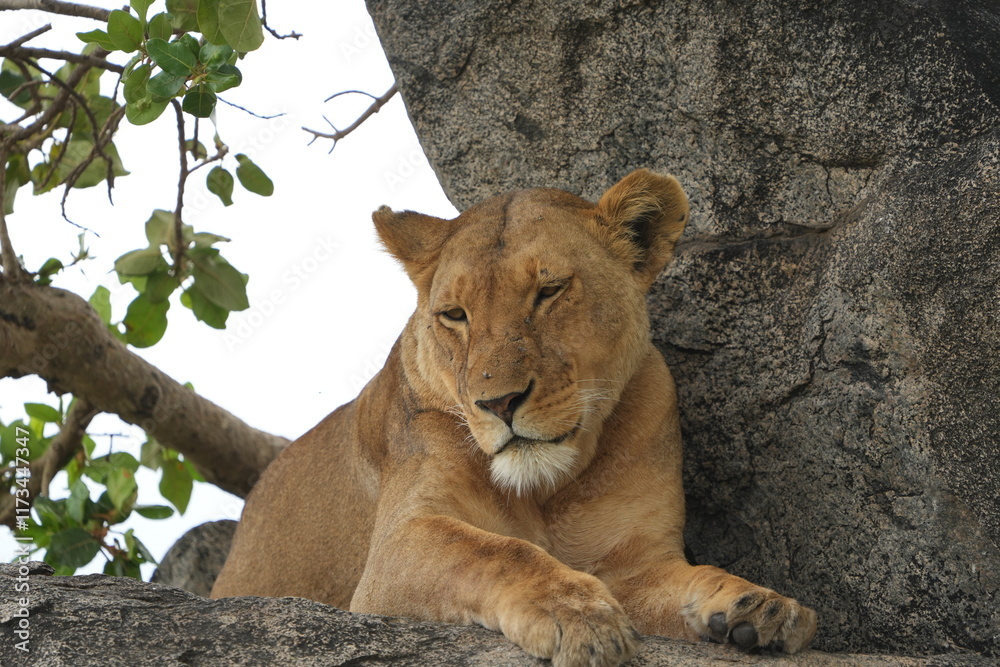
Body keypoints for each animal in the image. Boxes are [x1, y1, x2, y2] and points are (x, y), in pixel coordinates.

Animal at [211, 169, 817, 666]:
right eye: (454, 315)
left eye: (549, 291)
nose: (499, 403)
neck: (548, 491)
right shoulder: (395, 549)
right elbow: (498, 552)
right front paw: (576, 614)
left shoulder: (634, 564)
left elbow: (693, 578)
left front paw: (760, 606)